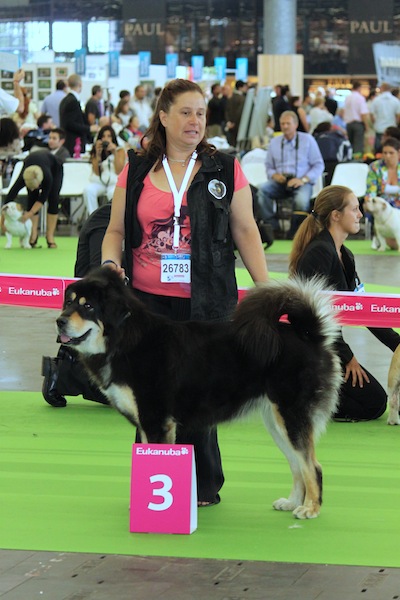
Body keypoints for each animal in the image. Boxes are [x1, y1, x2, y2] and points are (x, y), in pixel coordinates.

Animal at [56, 270, 342, 516]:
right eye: (68, 303)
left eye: (88, 307)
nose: (60, 321)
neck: (125, 339)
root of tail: (310, 335)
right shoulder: (148, 424)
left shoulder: (156, 420)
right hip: (276, 421)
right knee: (297, 464)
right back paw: (292, 502)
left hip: (291, 416)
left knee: (312, 466)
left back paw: (310, 509)